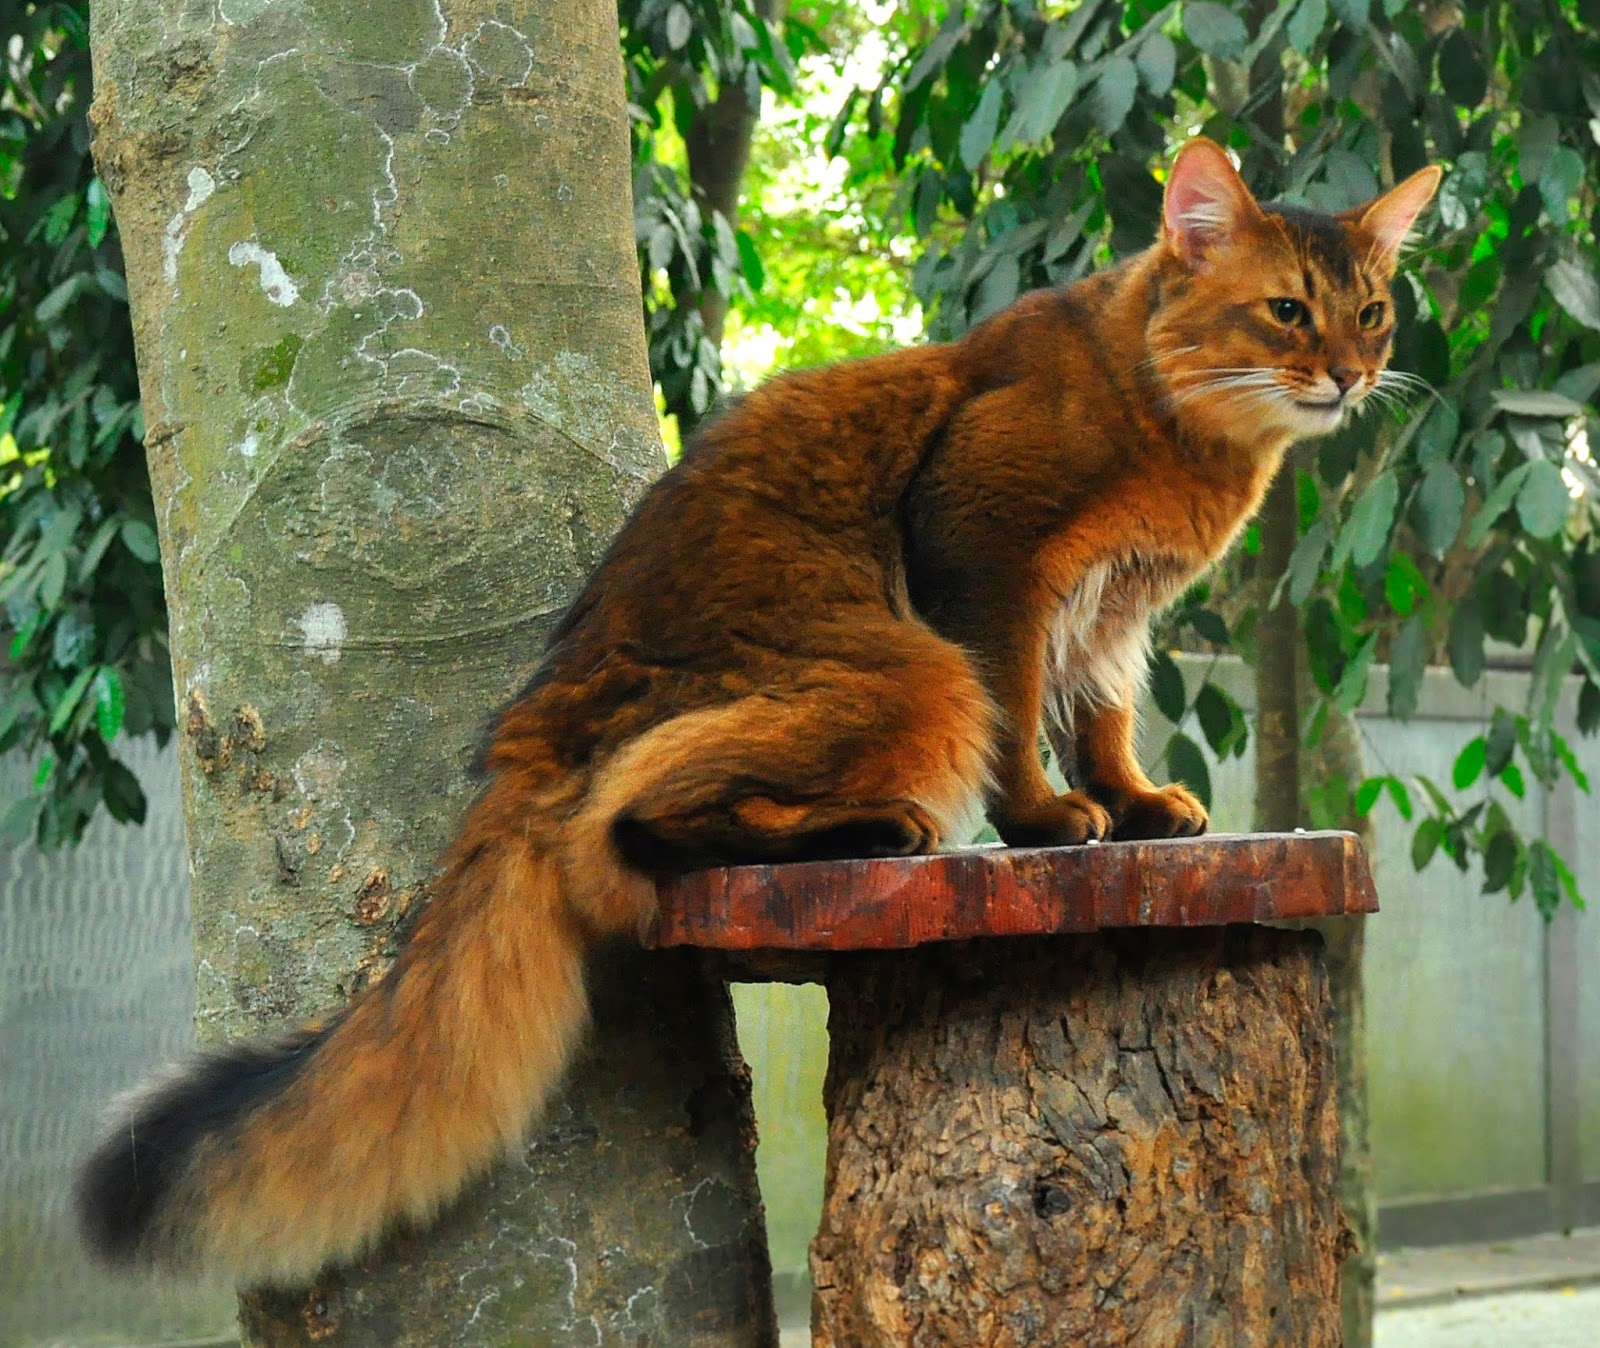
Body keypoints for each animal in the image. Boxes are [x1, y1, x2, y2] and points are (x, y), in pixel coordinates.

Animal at [81, 136, 1446, 1280]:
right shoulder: (985, 553)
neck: (1168, 410)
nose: (1350, 374)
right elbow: (1023, 715)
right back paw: (878, 829)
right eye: (1285, 310)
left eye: (1373, 309)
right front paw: (1046, 823)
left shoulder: (1113, 613)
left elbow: (1100, 719)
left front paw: (1133, 800)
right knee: (628, 829)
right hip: (908, 671)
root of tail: (531, 728)